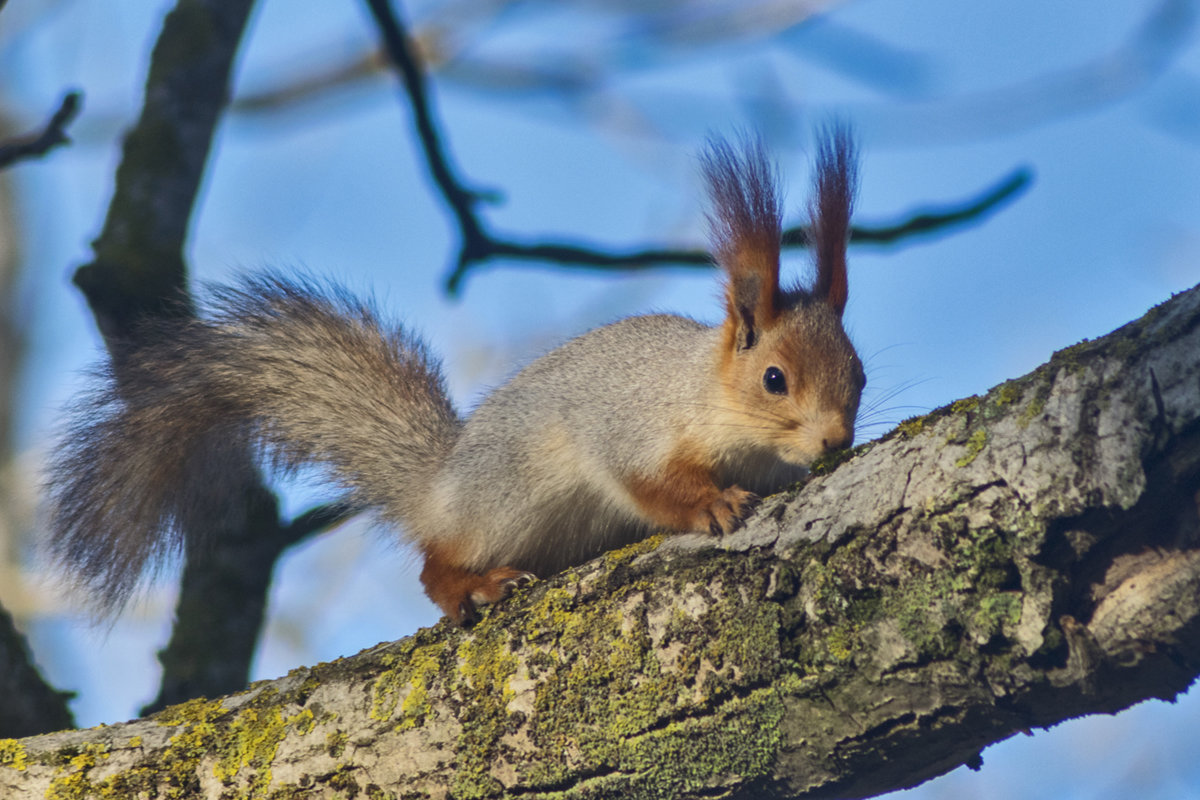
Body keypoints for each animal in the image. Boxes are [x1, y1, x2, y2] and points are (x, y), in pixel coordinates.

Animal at [44, 130, 864, 623]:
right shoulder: (627, 427)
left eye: (858, 372)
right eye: (774, 380)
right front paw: (711, 505)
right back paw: (470, 583)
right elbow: (648, 484)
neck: (704, 394)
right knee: (434, 561)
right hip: (509, 503)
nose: (836, 442)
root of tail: (440, 485)